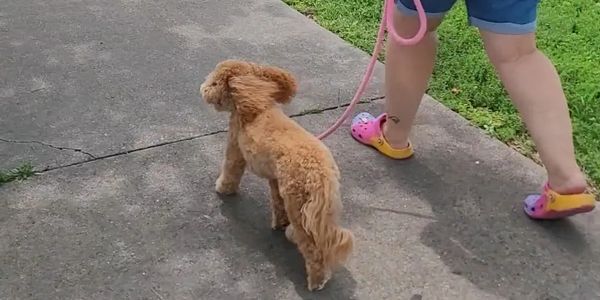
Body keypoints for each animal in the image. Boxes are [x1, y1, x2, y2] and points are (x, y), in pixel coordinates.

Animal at [199, 59, 354, 290]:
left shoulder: (235, 146)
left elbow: (231, 169)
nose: (203, 89)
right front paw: (279, 223)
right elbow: (277, 203)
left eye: (215, 82)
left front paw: (222, 188)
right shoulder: (275, 179)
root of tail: (319, 174)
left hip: (297, 204)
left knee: (313, 249)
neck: (258, 104)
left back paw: (316, 281)